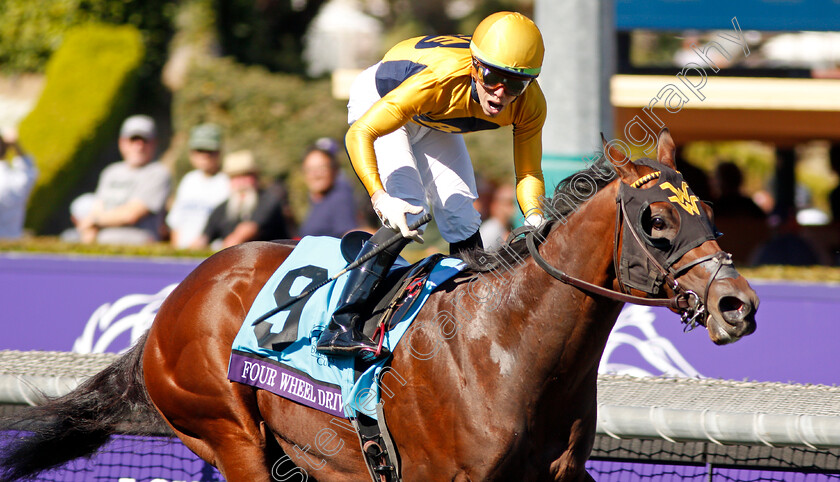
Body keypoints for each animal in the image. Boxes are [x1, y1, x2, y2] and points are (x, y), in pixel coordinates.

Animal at [0, 129, 756, 482]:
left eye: (710, 211)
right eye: (657, 219)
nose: (737, 305)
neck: (512, 346)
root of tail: (175, 301)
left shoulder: (562, 474)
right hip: (226, 433)